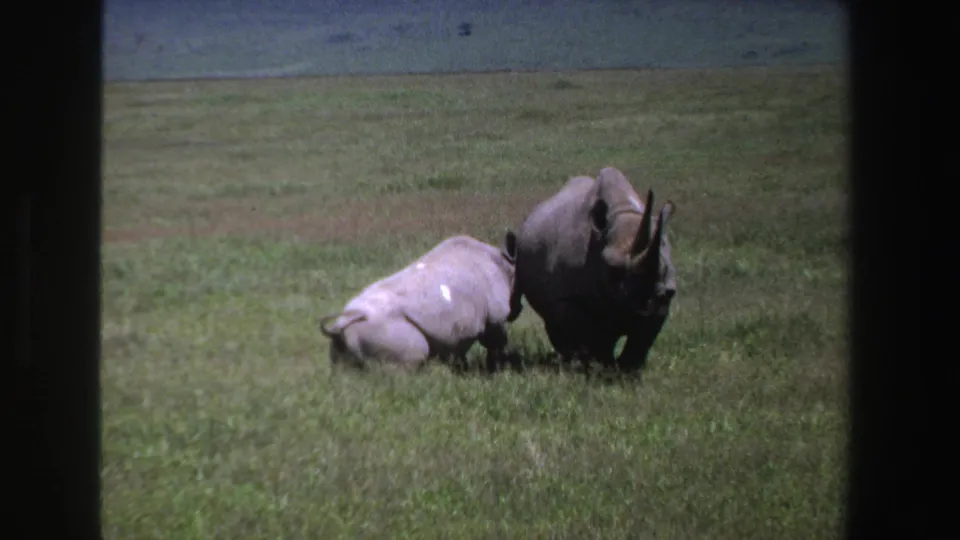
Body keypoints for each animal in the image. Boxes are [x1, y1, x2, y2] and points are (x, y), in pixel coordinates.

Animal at [319, 233, 520, 374]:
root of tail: (342, 324)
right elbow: (496, 344)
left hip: (345, 338)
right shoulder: (495, 317)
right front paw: (498, 369)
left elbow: (457, 351)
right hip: (383, 328)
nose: (517, 310)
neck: (505, 263)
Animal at [507, 166, 677, 377]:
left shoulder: (663, 295)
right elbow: (588, 334)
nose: (646, 303)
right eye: (614, 270)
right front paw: (598, 368)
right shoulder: (569, 297)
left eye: (664, 268)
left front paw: (626, 372)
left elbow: (641, 339)